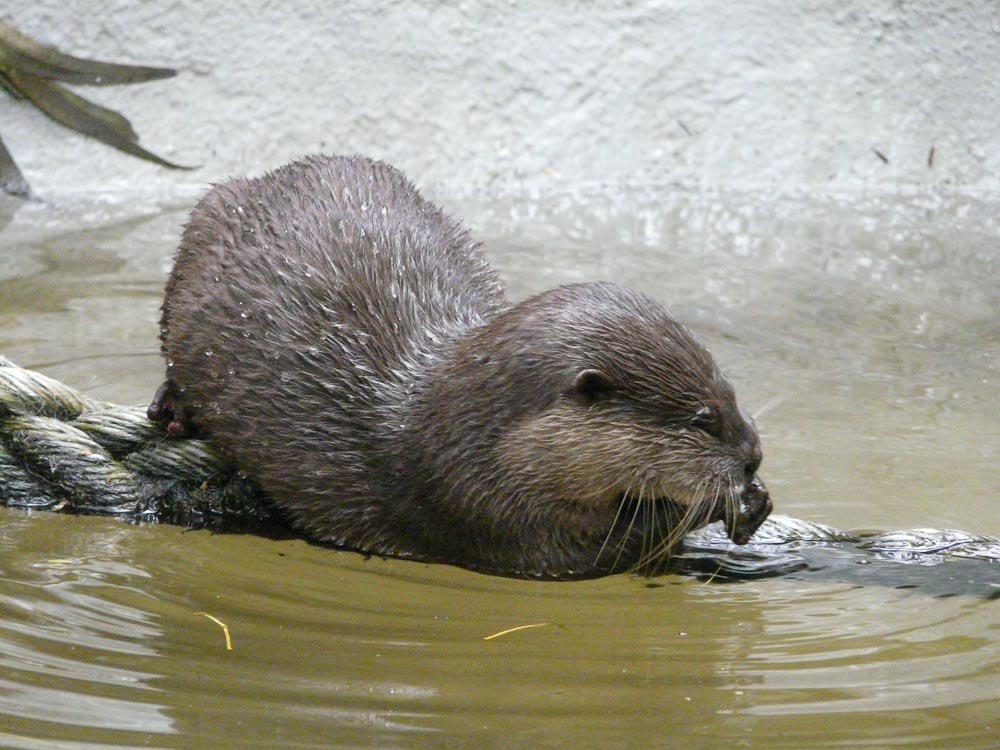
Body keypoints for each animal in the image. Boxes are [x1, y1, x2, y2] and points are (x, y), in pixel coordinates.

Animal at [148, 155, 771, 579]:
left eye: (732, 393)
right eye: (703, 420)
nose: (754, 456)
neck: (466, 435)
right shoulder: (486, 510)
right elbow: (595, 552)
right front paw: (733, 502)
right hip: (204, 220)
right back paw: (173, 408)